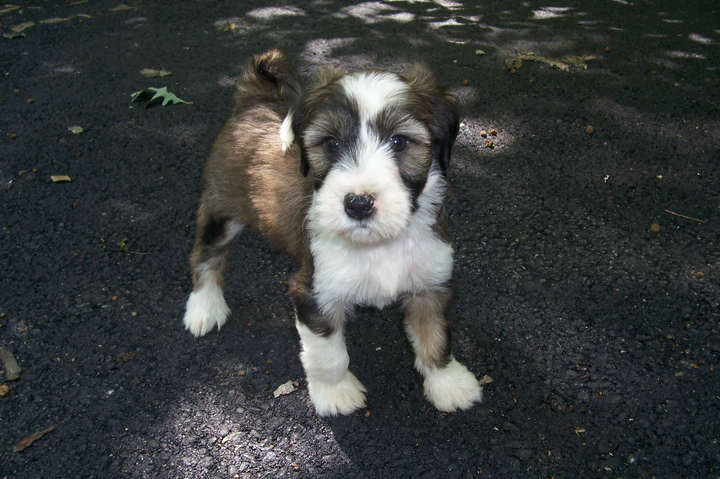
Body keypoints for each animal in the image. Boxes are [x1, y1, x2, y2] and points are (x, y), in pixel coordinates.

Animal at [183, 49, 480, 416]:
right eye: (331, 143)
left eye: (399, 141)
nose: (358, 204)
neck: (377, 245)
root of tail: (254, 99)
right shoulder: (314, 293)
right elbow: (328, 356)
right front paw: (335, 393)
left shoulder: (431, 284)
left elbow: (436, 337)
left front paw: (448, 383)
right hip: (222, 209)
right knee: (206, 253)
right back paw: (204, 307)